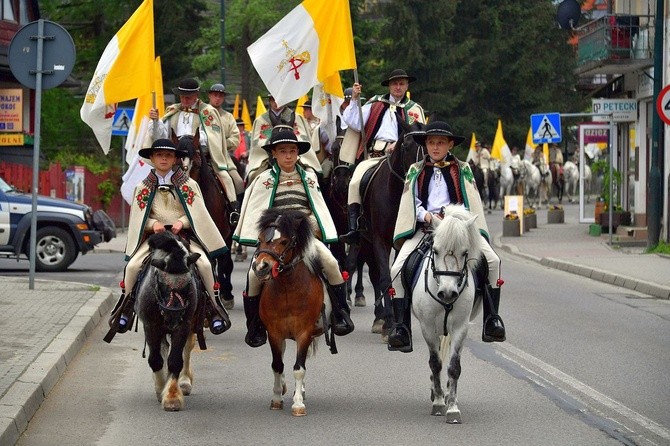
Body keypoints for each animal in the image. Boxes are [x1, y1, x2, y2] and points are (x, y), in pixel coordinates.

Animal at [252, 207, 326, 416]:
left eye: (284, 241)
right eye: (260, 239)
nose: (261, 267)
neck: (287, 291)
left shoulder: (304, 332)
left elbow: (299, 368)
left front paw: (298, 403)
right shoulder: (274, 333)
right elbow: (277, 365)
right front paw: (277, 398)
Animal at [410, 204, 484, 424]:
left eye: (465, 252)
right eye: (435, 250)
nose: (448, 293)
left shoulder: (460, 327)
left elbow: (454, 367)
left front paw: (452, 408)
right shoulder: (427, 326)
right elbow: (435, 364)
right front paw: (438, 403)